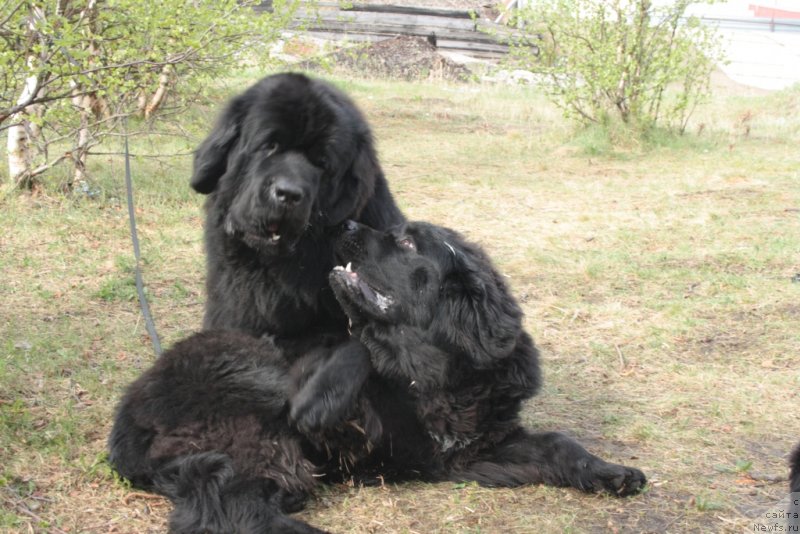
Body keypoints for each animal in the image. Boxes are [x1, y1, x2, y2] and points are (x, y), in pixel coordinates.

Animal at [106, 220, 648, 532]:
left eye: (407, 241)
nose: (345, 221)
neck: (433, 377)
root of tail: (127, 420)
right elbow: (356, 346)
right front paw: (322, 397)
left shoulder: (472, 453)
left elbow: (559, 444)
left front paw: (611, 472)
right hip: (253, 400)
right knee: (230, 506)